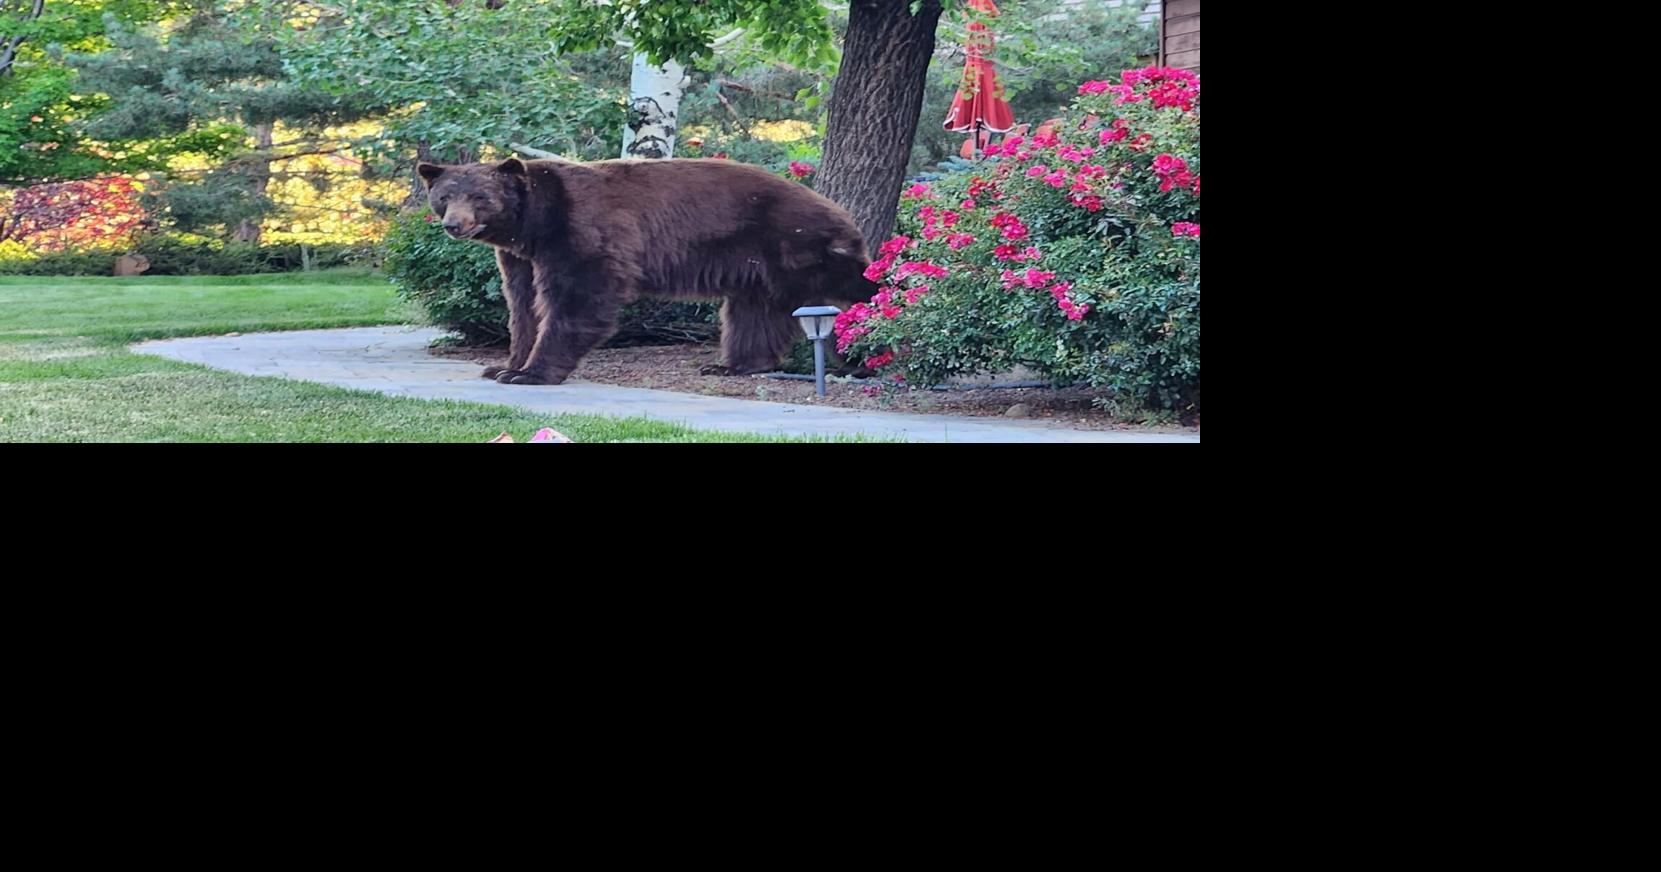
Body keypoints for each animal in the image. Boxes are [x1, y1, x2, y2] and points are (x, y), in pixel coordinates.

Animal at [417, 157, 878, 386]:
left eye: (480, 196)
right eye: (444, 196)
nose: (453, 224)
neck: (534, 223)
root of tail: (841, 212)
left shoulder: (579, 230)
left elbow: (577, 298)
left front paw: (530, 373)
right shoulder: (520, 256)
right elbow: (523, 304)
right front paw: (504, 365)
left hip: (796, 244)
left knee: (848, 287)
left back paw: (867, 352)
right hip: (755, 264)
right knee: (753, 313)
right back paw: (732, 365)